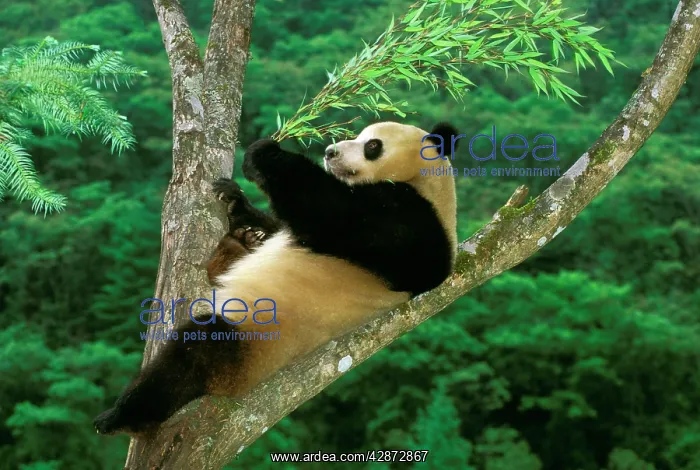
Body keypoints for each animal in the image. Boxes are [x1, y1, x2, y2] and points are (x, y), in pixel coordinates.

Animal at [93, 120, 459, 435]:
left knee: (193, 355)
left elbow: (335, 213)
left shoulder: (412, 225)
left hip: (252, 340)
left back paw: (122, 416)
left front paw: (264, 153)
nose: (331, 152)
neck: (430, 186)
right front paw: (237, 204)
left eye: (372, 145)